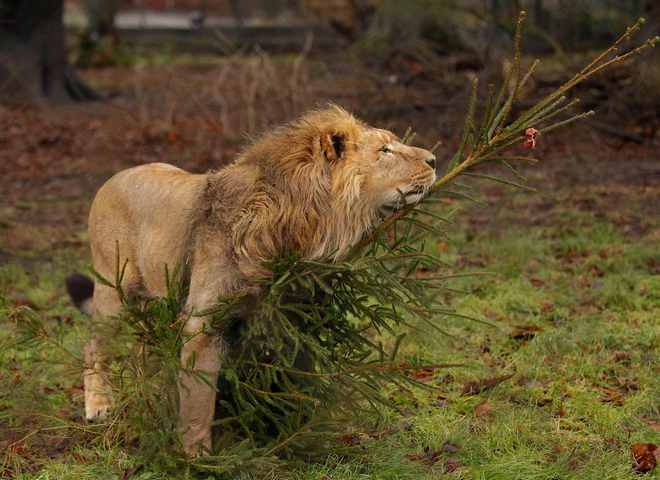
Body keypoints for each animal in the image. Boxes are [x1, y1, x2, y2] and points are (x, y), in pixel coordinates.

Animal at [68, 105, 438, 454]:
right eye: (385, 150)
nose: (434, 160)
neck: (301, 222)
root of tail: (113, 177)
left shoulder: (287, 316)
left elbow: (289, 379)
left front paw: (293, 433)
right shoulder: (203, 322)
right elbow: (199, 399)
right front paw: (196, 456)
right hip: (113, 292)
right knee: (93, 345)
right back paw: (99, 407)